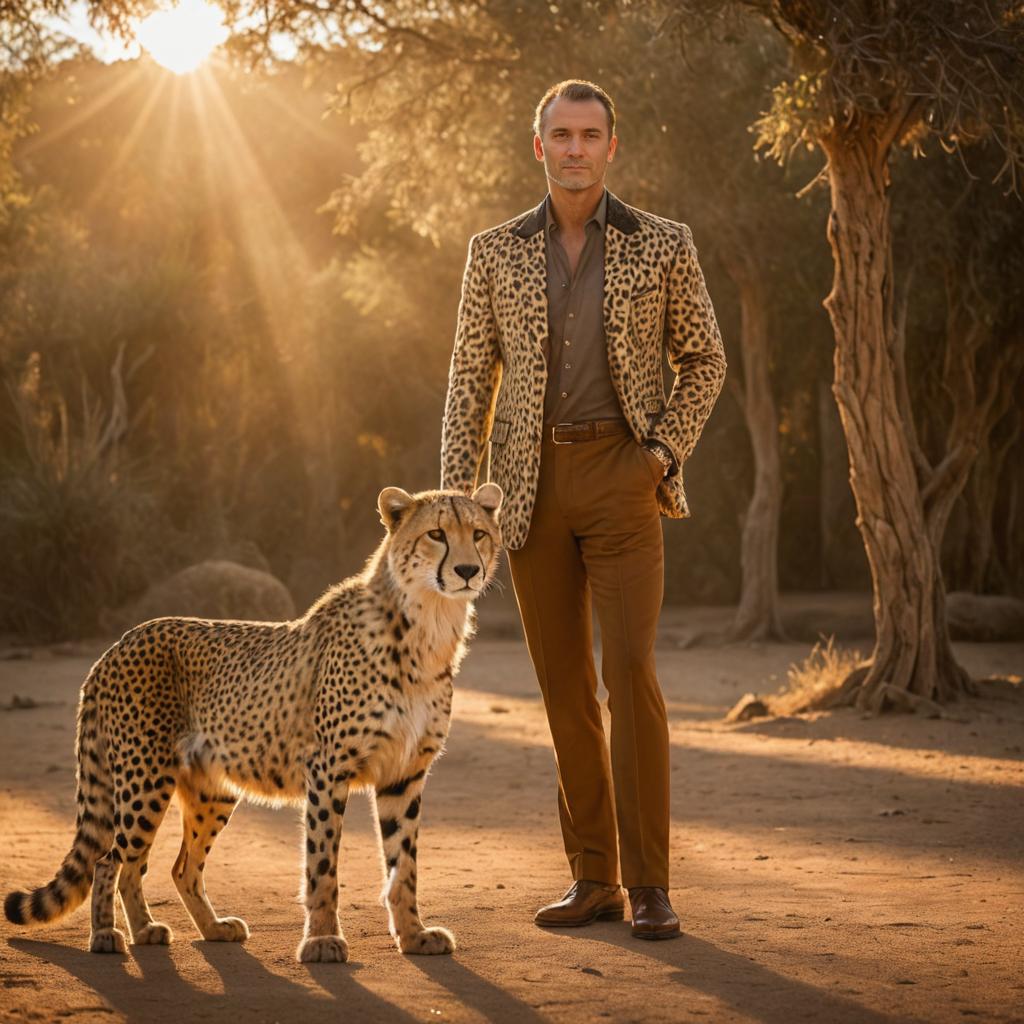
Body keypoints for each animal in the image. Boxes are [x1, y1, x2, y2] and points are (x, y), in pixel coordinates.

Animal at [3, 483, 503, 962]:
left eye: (478, 534)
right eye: (436, 534)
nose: (467, 571)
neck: (427, 624)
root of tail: (119, 643)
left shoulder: (404, 775)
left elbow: (405, 866)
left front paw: (414, 935)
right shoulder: (328, 769)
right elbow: (322, 865)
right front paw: (322, 941)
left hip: (211, 789)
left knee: (173, 867)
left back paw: (184, 929)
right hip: (145, 779)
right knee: (110, 861)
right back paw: (107, 935)